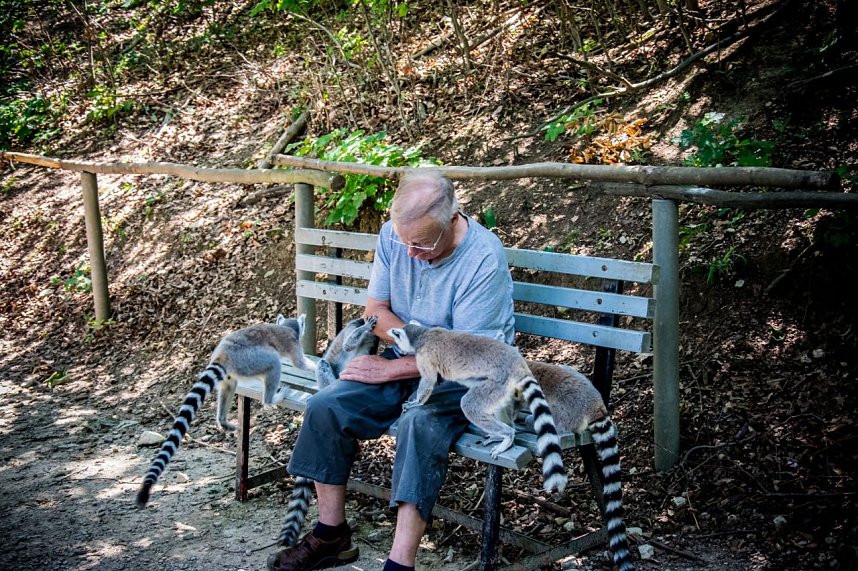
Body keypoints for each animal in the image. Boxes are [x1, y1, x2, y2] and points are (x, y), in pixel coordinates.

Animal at [136, 314, 314, 508]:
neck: (288, 328)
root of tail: (224, 353)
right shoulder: (292, 342)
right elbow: (300, 364)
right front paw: (314, 367)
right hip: (250, 359)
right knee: (274, 362)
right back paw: (271, 399)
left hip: (234, 372)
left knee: (229, 386)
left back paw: (223, 421)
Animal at [277, 315, 380, 547]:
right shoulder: (353, 330)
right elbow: (349, 343)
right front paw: (365, 327)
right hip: (327, 373)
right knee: (325, 364)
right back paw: (336, 384)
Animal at [387, 324, 567, 493]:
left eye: (396, 340)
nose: (399, 351)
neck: (422, 334)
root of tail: (517, 363)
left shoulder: (426, 356)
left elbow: (428, 380)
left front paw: (415, 402)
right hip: (502, 389)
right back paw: (501, 434)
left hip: (497, 382)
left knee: (469, 405)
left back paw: (506, 438)